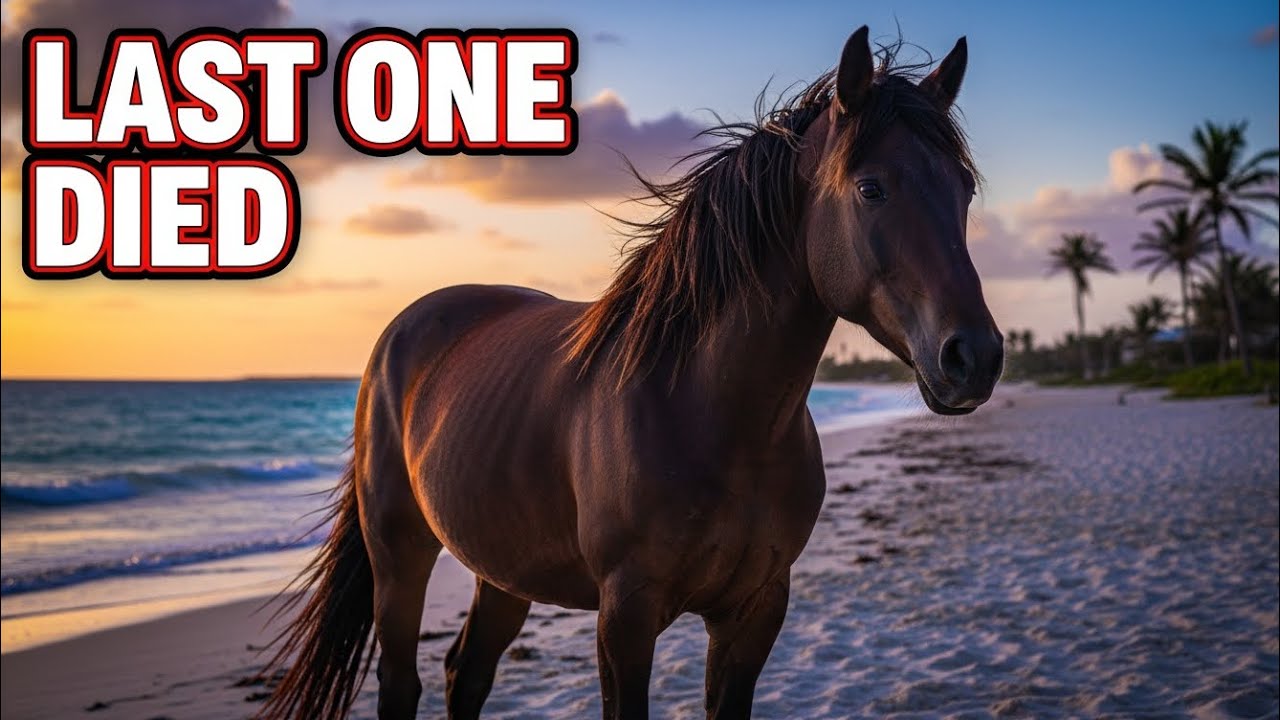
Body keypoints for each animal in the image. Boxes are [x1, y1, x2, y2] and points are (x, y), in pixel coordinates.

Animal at [261, 25, 1003, 720]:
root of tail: (404, 332)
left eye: (963, 190)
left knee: (465, 673)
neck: (708, 416)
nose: (976, 356)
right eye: (871, 188)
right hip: (399, 554)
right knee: (402, 681)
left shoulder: (756, 611)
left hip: (502, 569)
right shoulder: (625, 618)